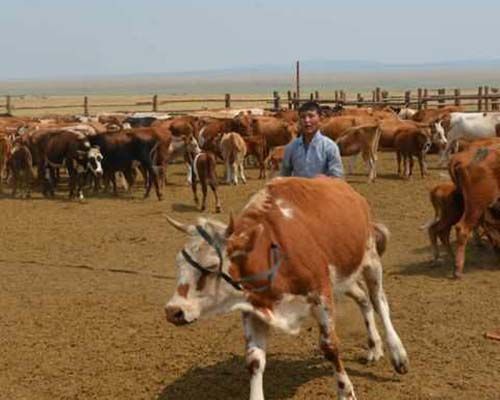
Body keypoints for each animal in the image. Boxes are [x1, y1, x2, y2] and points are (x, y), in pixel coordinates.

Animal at [166, 177, 408, 400]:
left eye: (210, 267)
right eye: (178, 263)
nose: (172, 311)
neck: (272, 254)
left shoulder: (321, 294)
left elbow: (330, 347)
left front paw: (346, 391)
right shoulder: (253, 307)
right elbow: (254, 359)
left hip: (370, 259)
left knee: (379, 301)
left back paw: (398, 354)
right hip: (343, 277)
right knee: (364, 299)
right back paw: (374, 347)